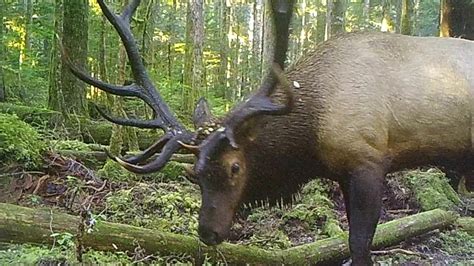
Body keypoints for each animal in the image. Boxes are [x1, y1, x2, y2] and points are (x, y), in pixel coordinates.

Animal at [66, 0, 474, 264]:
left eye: (235, 167)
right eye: (193, 173)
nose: (207, 232)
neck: (311, 129)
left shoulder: (369, 161)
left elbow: (360, 246)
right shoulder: (343, 171)